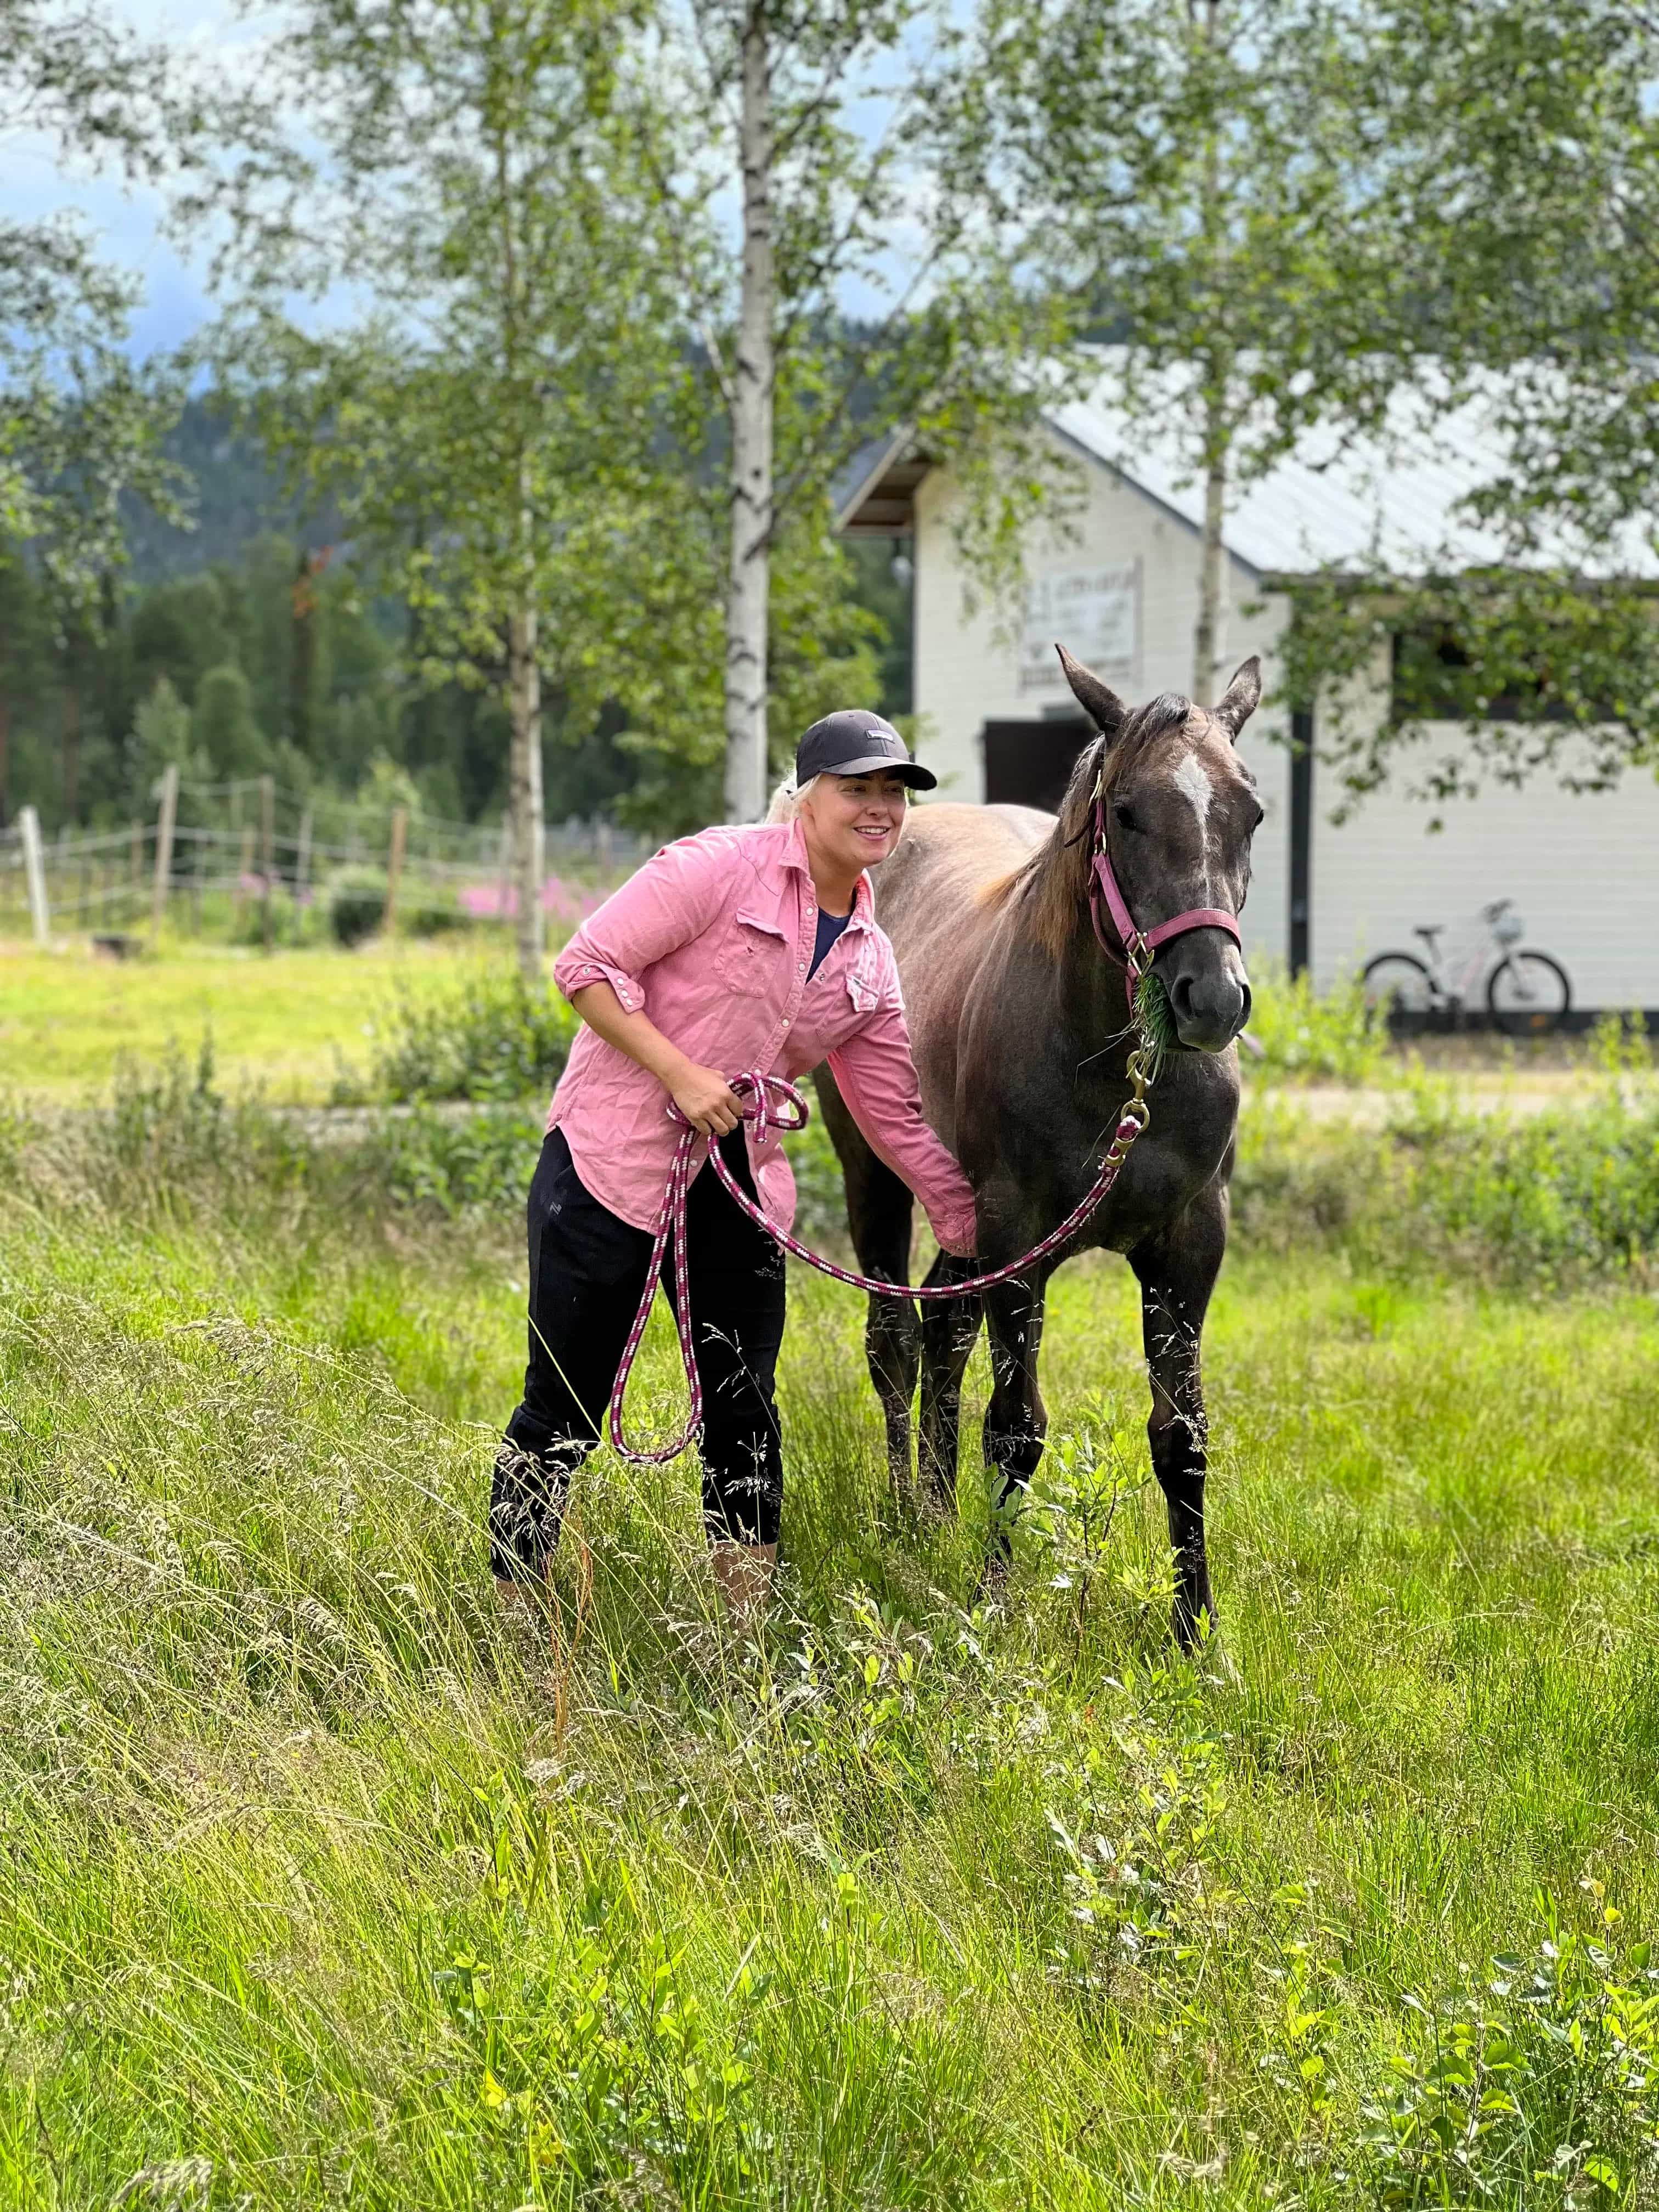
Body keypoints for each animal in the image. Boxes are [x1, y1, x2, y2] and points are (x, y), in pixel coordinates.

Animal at [827, 641, 1265, 1645]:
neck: (1114, 1065)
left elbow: (1181, 1437)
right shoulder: (1017, 1235)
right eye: (1126, 811)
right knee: (895, 1338)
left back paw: (936, 1510)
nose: (1211, 999)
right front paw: (992, 1605)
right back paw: (906, 1515)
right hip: (877, 1174)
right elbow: (1015, 1427)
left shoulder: (1189, 1242)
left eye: (1251, 813)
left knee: (944, 1327)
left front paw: (1196, 1632)